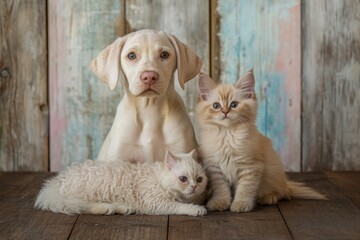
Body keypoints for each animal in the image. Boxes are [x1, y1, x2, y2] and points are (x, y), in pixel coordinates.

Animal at [35, 150, 208, 216]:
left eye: (199, 179)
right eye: (183, 179)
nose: (194, 186)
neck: (158, 179)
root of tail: (55, 182)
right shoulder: (155, 202)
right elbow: (179, 206)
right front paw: (196, 209)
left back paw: (124, 208)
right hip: (86, 191)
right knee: (84, 206)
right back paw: (108, 208)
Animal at [90, 28, 202, 163]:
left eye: (164, 55)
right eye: (131, 56)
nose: (149, 76)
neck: (149, 109)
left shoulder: (182, 150)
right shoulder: (118, 159)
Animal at [197, 70, 326, 212]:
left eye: (234, 105)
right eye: (216, 106)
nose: (225, 112)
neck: (227, 134)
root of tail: (286, 184)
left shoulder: (250, 166)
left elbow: (245, 189)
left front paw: (241, 204)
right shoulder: (215, 169)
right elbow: (221, 189)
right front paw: (220, 202)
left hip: (273, 173)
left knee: (280, 193)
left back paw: (268, 198)